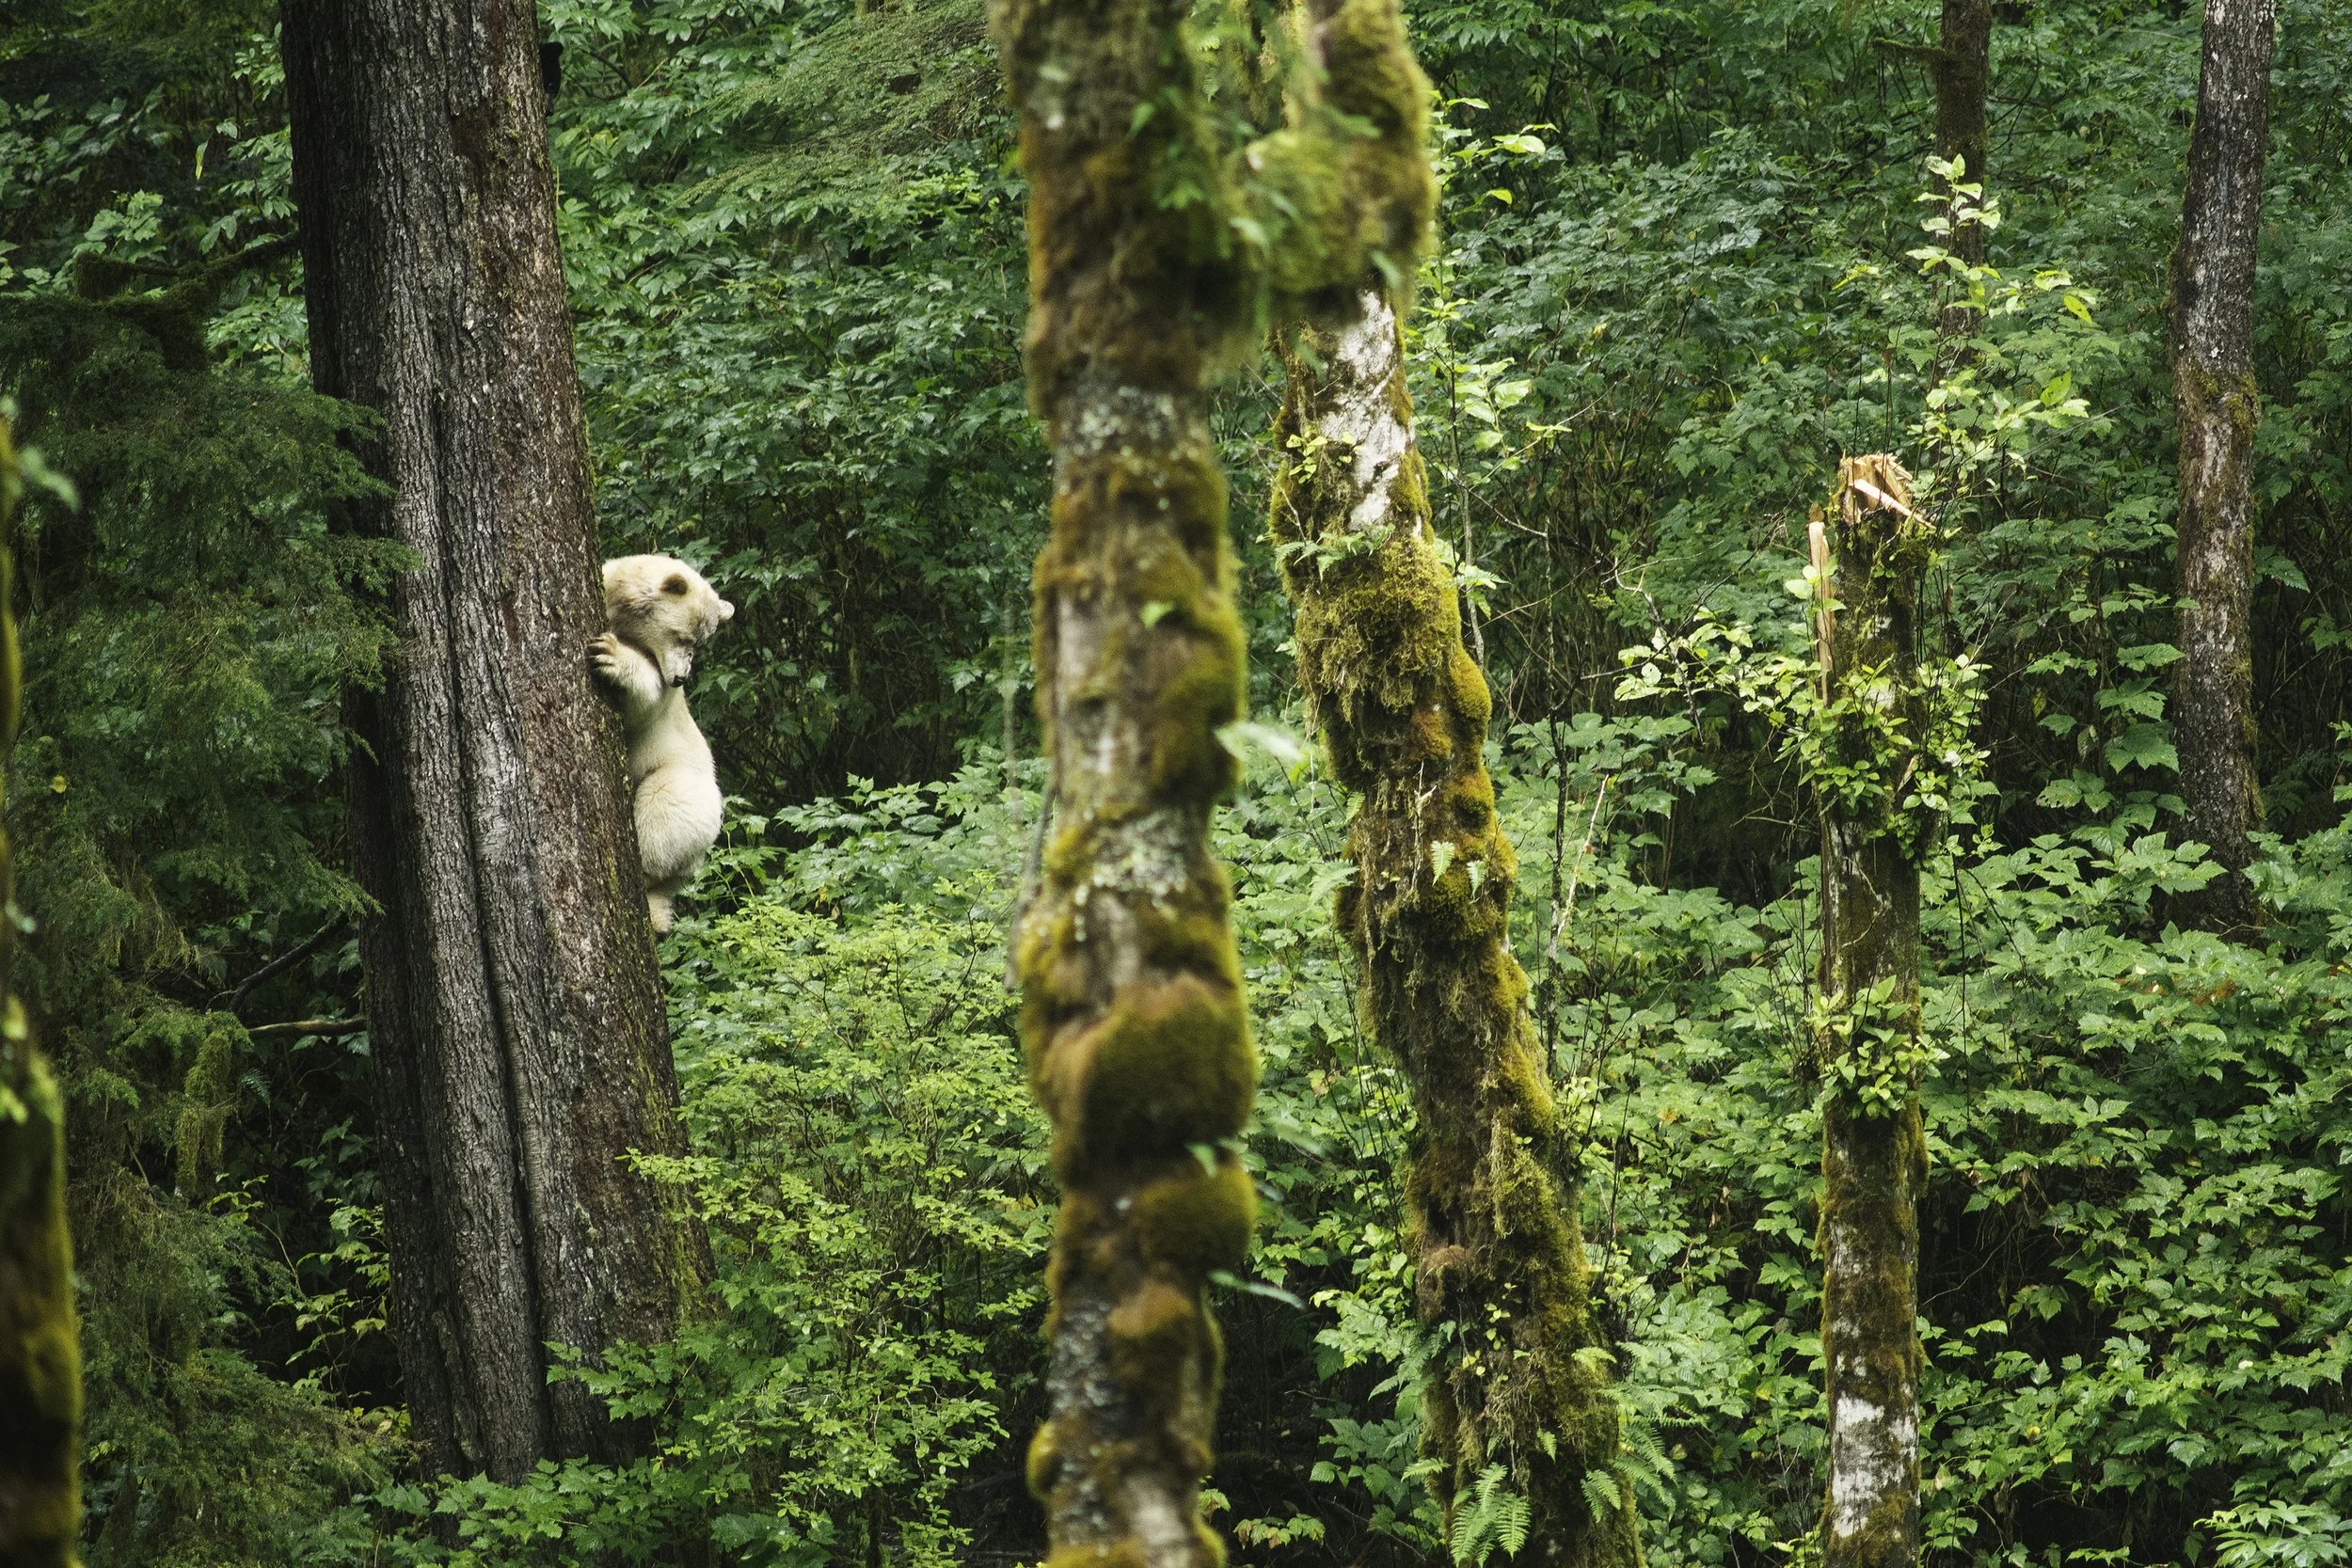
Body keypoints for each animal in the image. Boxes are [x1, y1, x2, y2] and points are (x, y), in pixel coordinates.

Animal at [588, 554, 734, 934]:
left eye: (699, 644)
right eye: (684, 637)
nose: (681, 678)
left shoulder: (661, 698)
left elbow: (644, 698)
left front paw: (610, 655)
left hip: (686, 791)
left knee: (662, 808)